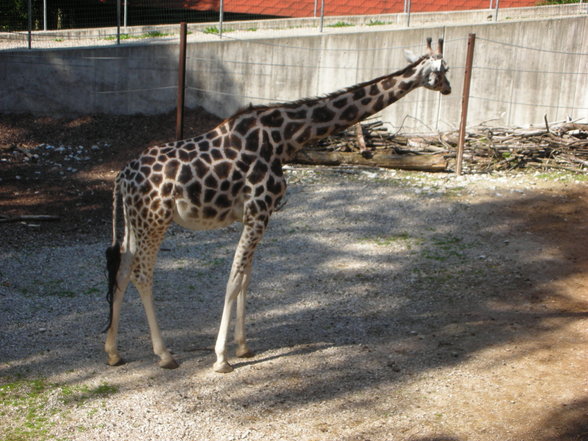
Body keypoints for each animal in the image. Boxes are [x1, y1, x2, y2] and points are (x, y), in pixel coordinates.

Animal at [103, 38, 450, 372]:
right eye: (444, 68)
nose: (448, 88)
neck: (284, 138)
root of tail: (122, 177)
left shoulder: (256, 216)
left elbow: (246, 278)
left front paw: (243, 346)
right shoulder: (259, 212)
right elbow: (234, 280)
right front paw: (221, 358)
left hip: (136, 223)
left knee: (121, 270)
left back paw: (113, 352)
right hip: (155, 221)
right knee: (142, 275)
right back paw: (164, 355)